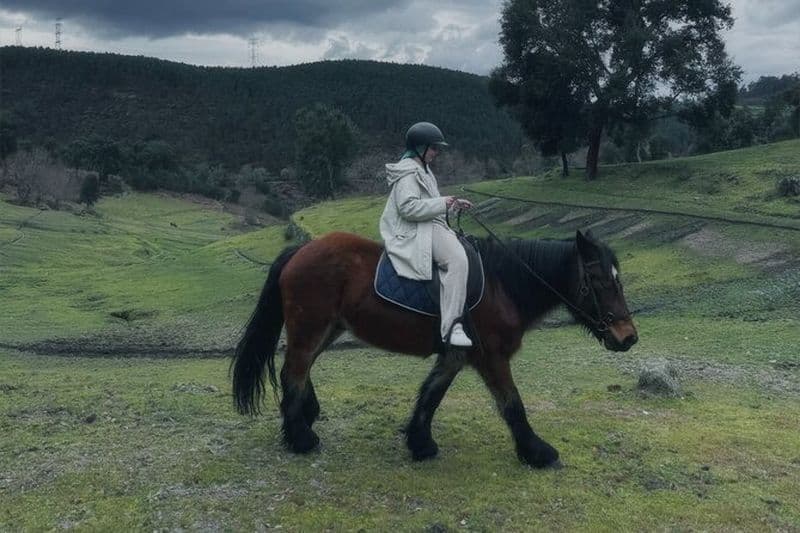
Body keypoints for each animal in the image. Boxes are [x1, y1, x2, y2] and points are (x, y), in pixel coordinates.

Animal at [231, 229, 637, 468]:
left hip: (328, 328)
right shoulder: (492, 357)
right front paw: (536, 451)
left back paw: (307, 415)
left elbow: (431, 394)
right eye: (600, 281)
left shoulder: (456, 355)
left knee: (302, 369)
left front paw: (420, 442)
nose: (628, 337)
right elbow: (512, 404)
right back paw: (300, 437)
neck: (503, 284)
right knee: (294, 371)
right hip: (311, 327)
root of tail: (300, 251)